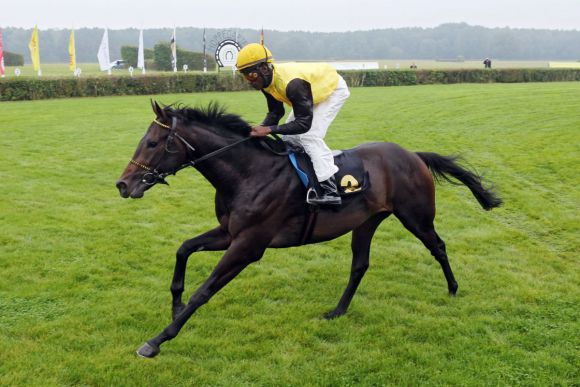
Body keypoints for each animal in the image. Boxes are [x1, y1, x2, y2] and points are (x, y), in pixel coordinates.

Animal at [115, 101, 500, 358]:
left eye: (152, 143)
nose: (122, 184)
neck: (248, 173)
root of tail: (413, 155)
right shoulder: (229, 233)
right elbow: (183, 248)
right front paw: (176, 304)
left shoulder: (248, 245)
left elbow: (204, 290)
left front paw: (157, 340)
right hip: (366, 222)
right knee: (360, 265)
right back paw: (338, 310)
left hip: (416, 216)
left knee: (438, 246)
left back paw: (452, 288)